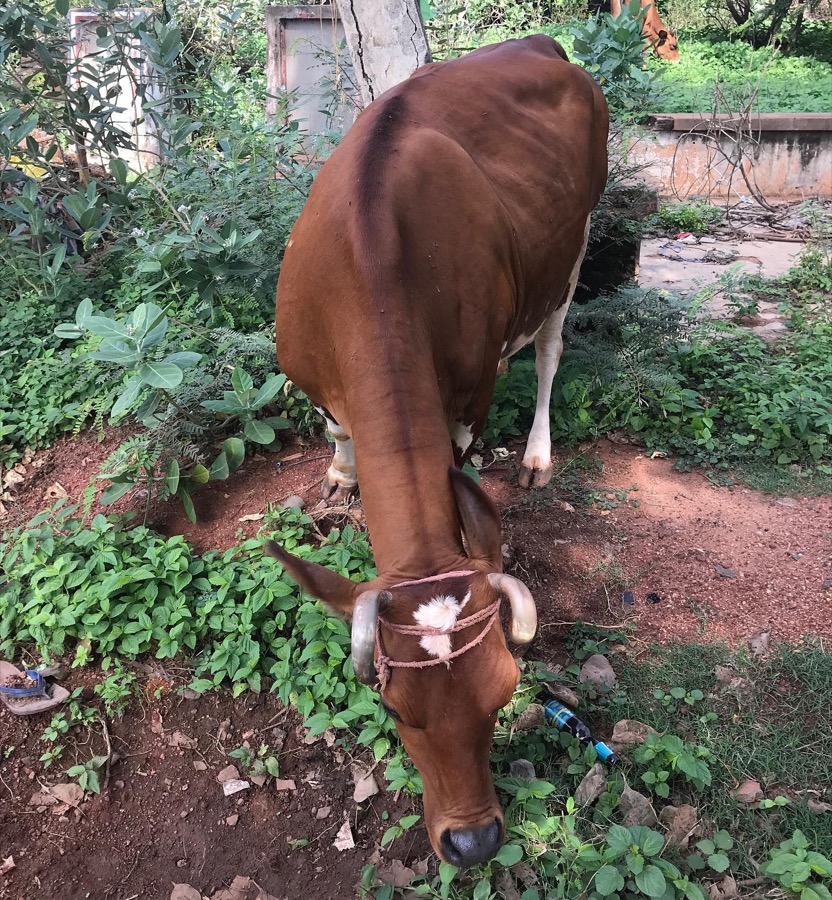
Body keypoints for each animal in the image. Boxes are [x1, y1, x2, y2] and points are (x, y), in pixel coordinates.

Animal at [269, 34, 609, 867]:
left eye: (505, 692)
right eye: (393, 709)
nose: (476, 842)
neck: (369, 259)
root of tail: (542, 43)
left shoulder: (470, 391)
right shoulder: (312, 376)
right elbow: (338, 435)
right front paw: (339, 477)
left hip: (574, 243)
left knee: (549, 349)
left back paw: (537, 452)